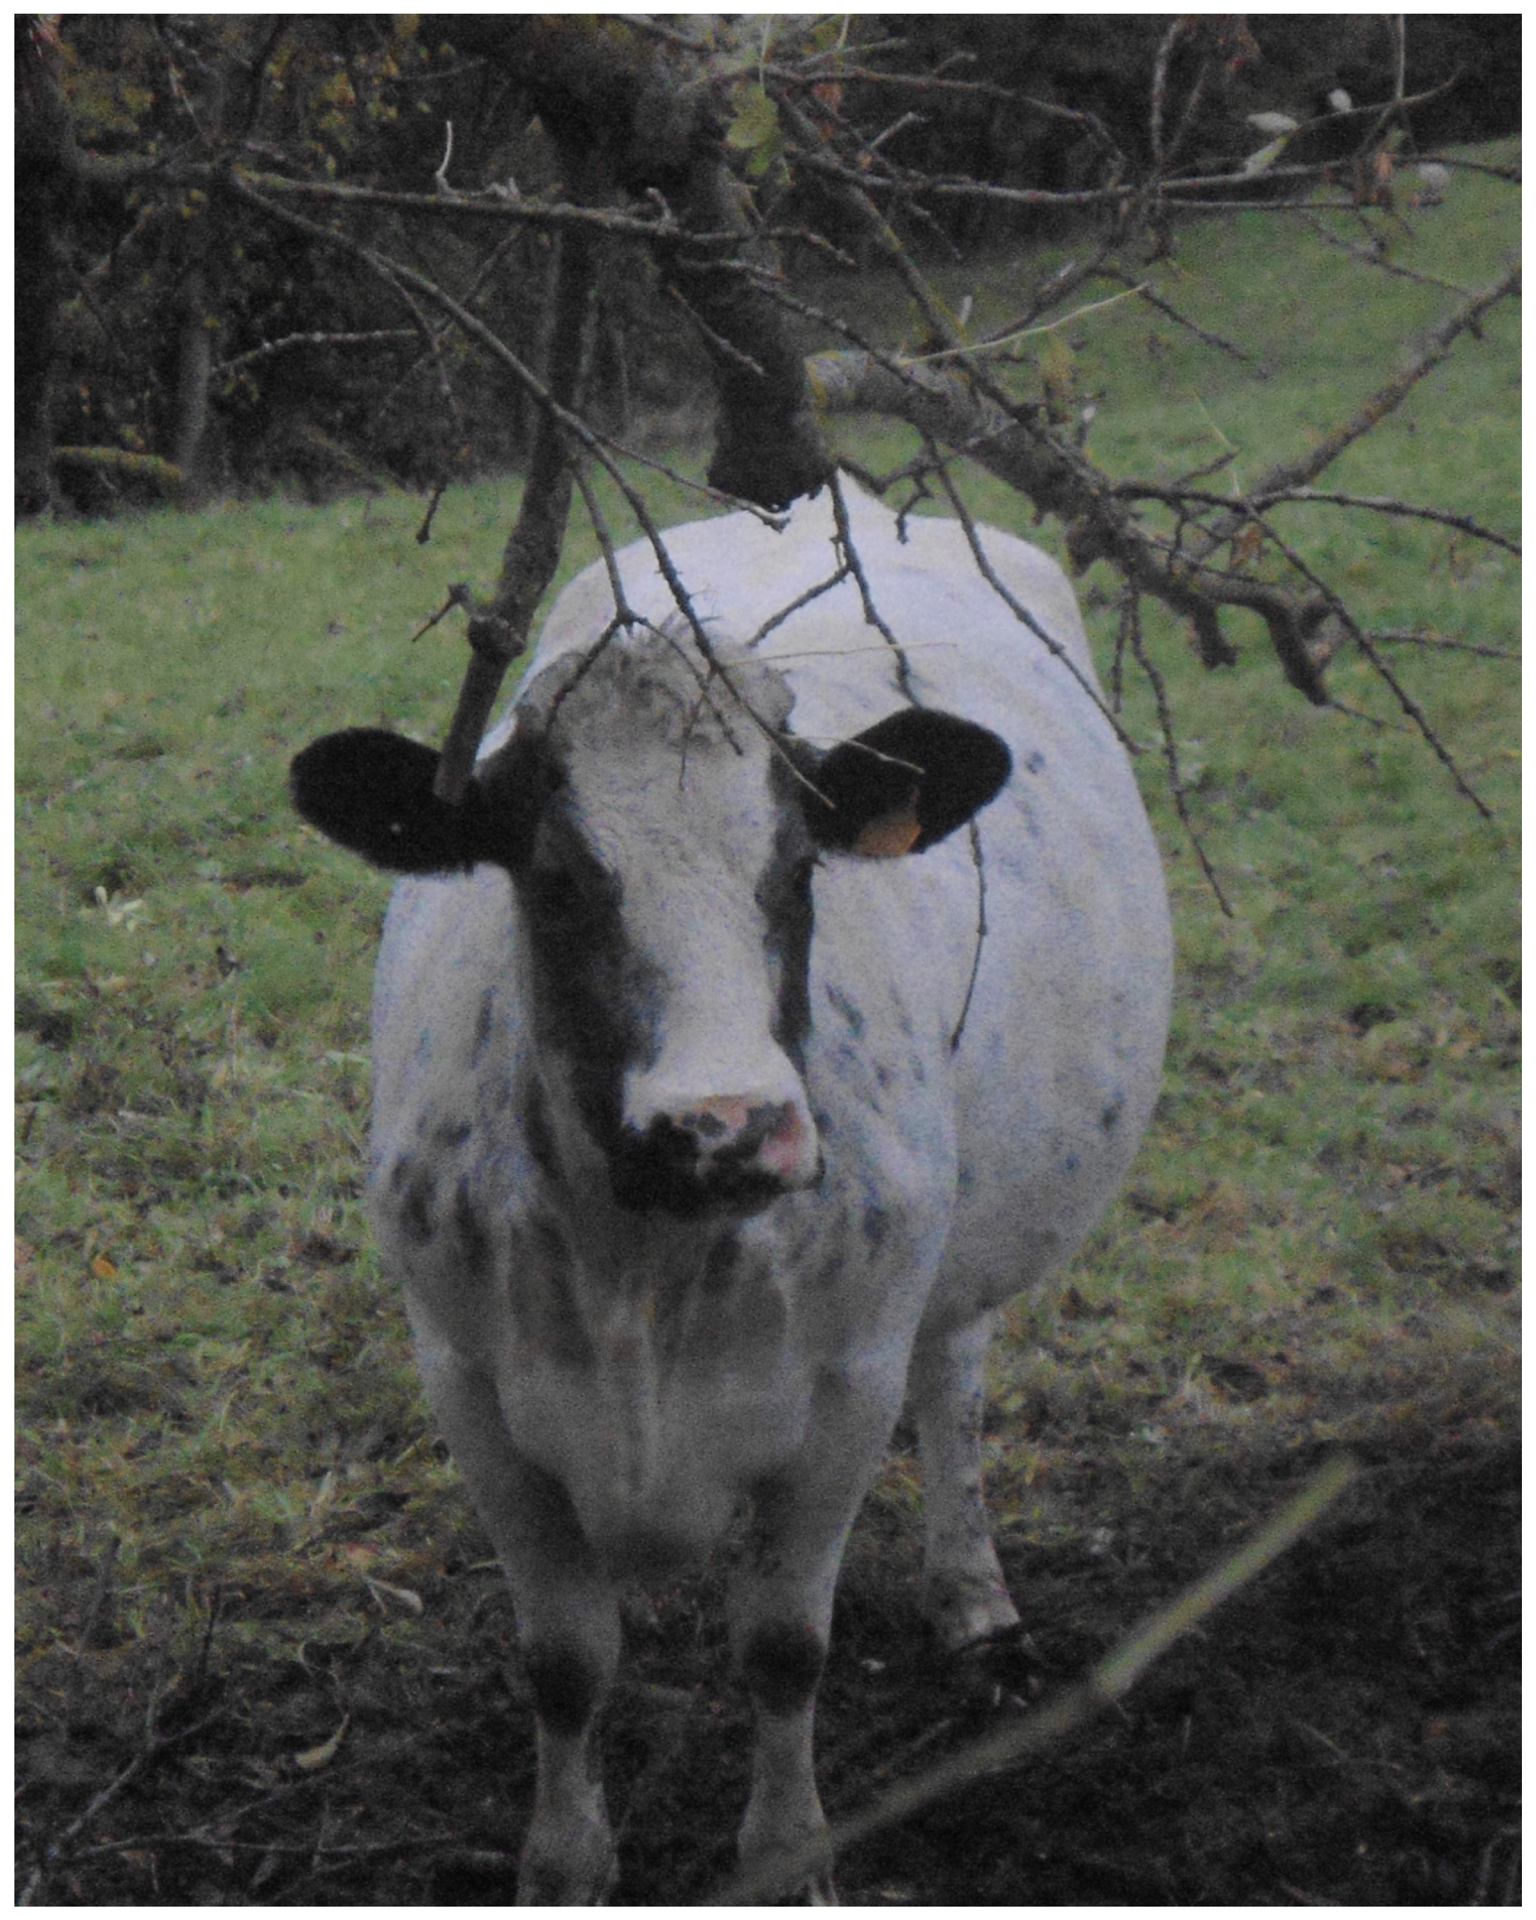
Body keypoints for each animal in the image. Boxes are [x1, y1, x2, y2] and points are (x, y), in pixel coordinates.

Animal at [289, 481, 1172, 1903]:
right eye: (555, 878)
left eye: (798, 865)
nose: (728, 1128)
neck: (641, 1263)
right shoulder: (467, 1383)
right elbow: (566, 1663)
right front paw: (563, 1864)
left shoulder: (848, 1387)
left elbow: (783, 1650)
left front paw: (786, 1858)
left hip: (956, 1260)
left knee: (957, 1375)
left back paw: (975, 1597)